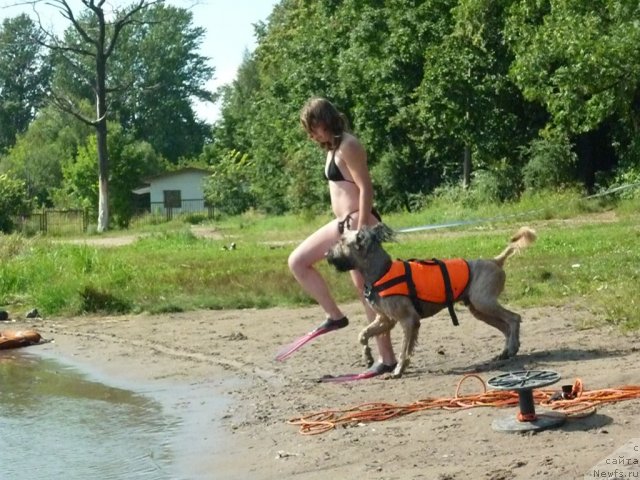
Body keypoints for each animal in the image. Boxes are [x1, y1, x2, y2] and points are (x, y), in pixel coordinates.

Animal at [324, 225, 536, 378]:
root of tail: (495, 260)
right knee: (506, 326)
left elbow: (404, 349)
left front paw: (398, 370)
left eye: (342, 241)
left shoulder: (409, 320)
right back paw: (506, 351)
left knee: (514, 318)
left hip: (484, 302)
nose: (326, 254)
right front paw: (367, 356)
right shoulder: (386, 319)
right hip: (479, 309)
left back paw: (512, 347)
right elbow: (363, 334)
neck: (382, 271)